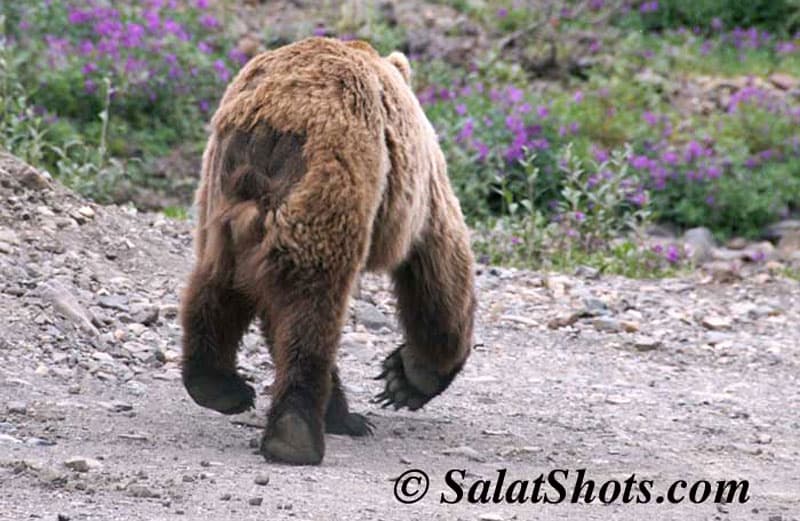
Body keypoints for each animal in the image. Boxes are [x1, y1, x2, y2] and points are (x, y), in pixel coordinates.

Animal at [180, 38, 476, 466]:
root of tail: (269, 126)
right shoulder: (421, 191)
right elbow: (441, 264)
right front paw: (409, 377)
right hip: (331, 179)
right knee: (311, 303)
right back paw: (298, 433)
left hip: (222, 198)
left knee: (219, 280)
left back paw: (219, 386)